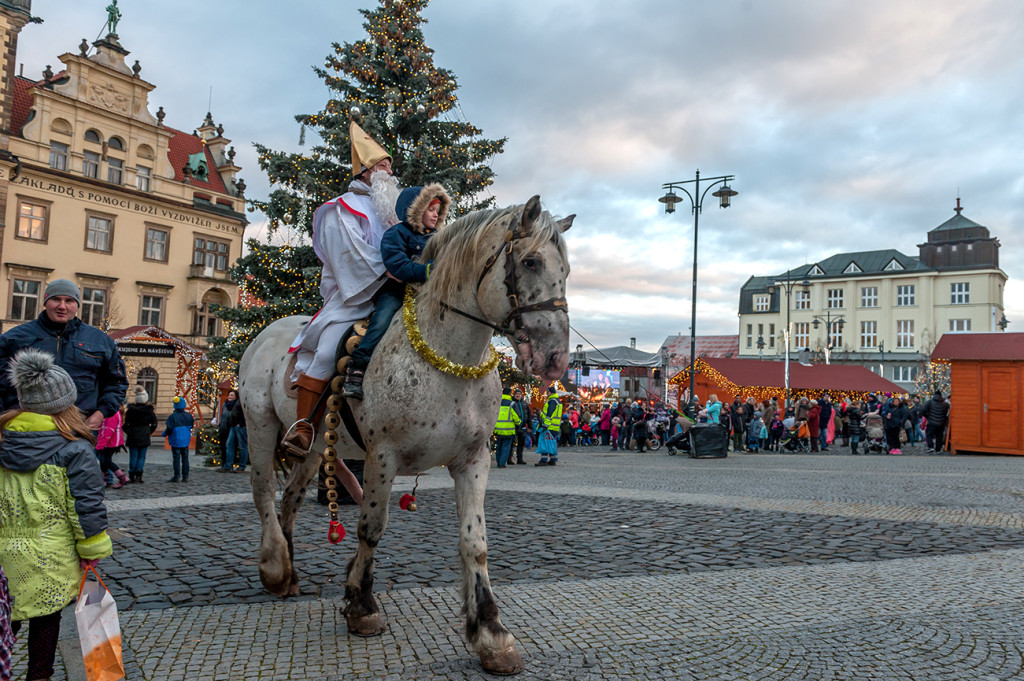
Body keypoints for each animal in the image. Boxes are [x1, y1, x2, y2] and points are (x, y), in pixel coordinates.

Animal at [241, 196, 577, 675]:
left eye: (565, 270)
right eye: (530, 261)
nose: (555, 360)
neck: (449, 362)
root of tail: (269, 330)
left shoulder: (474, 460)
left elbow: (475, 542)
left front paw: (491, 632)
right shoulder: (382, 456)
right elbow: (370, 527)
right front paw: (362, 605)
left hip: (313, 446)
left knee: (290, 498)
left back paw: (289, 572)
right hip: (259, 424)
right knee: (263, 491)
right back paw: (274, 566)